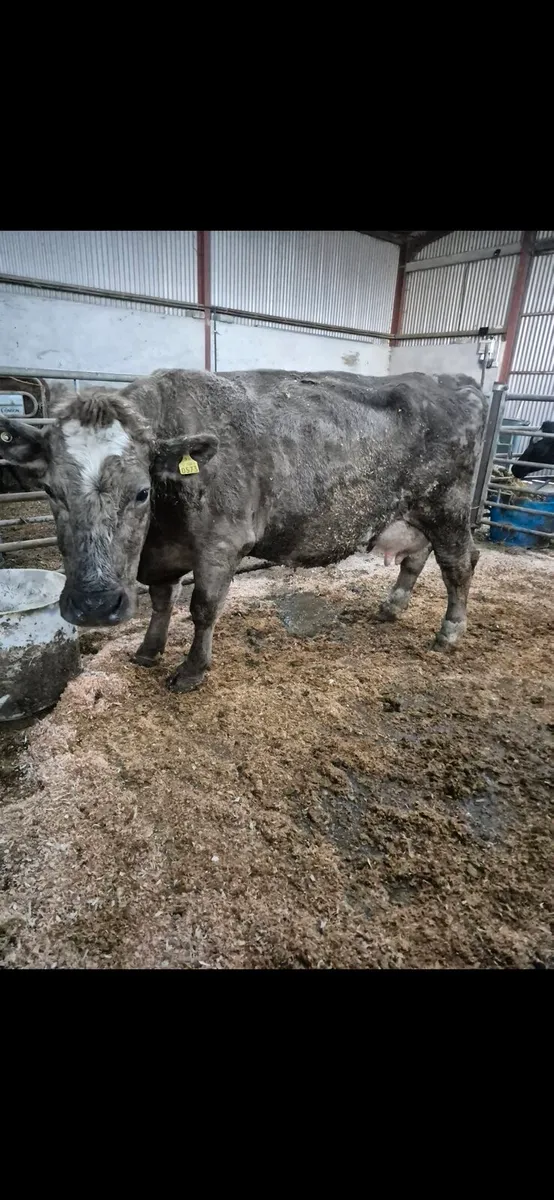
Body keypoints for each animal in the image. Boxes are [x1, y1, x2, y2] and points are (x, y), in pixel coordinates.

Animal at [0, 369, 486, 694]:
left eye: (141, 492)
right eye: (50, 490)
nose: (95, 606)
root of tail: (454, 380)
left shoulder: (222, 542)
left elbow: (201, 608)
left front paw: (192, 671)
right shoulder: (161, 553)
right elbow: (162, 601)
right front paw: (148, 651)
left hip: (448, 506)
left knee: (459, 564)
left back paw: (449, 632)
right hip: (414, 515)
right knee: (417, 557)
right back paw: (392, 606)